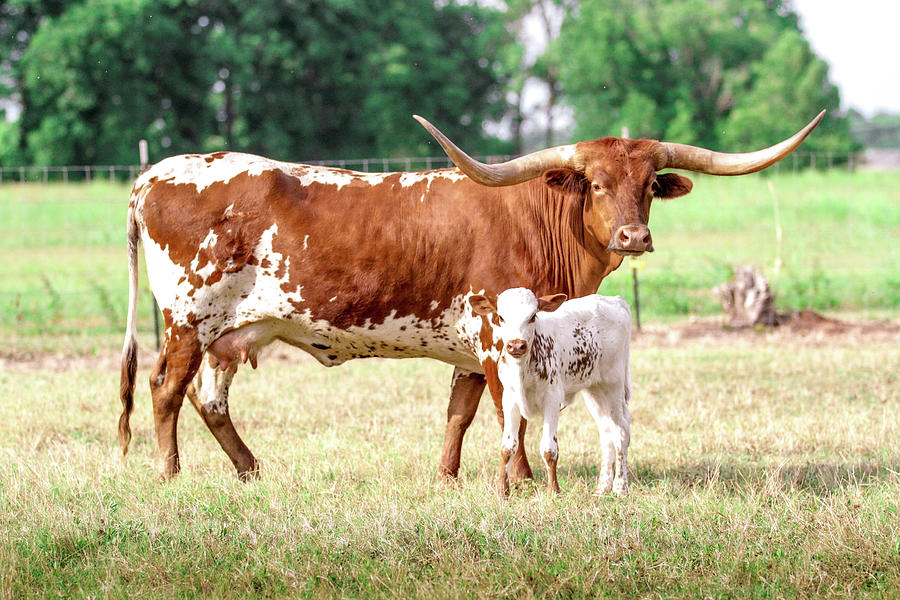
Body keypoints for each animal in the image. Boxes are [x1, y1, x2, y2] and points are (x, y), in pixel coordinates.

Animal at [472, 288, 632, 494]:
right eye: (501, 317)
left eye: (533, 316)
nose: (516, 345)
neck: (523, 370)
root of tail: (616, 301)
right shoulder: (509, 400)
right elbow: (507, 447)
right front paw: (502, 491)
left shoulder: (552, 400)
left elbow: (549, 449)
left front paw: (553, 491)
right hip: (595, 390)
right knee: (606, 431)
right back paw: (602, 488)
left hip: (613, 385)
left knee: (621, 431)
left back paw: (620, 487)